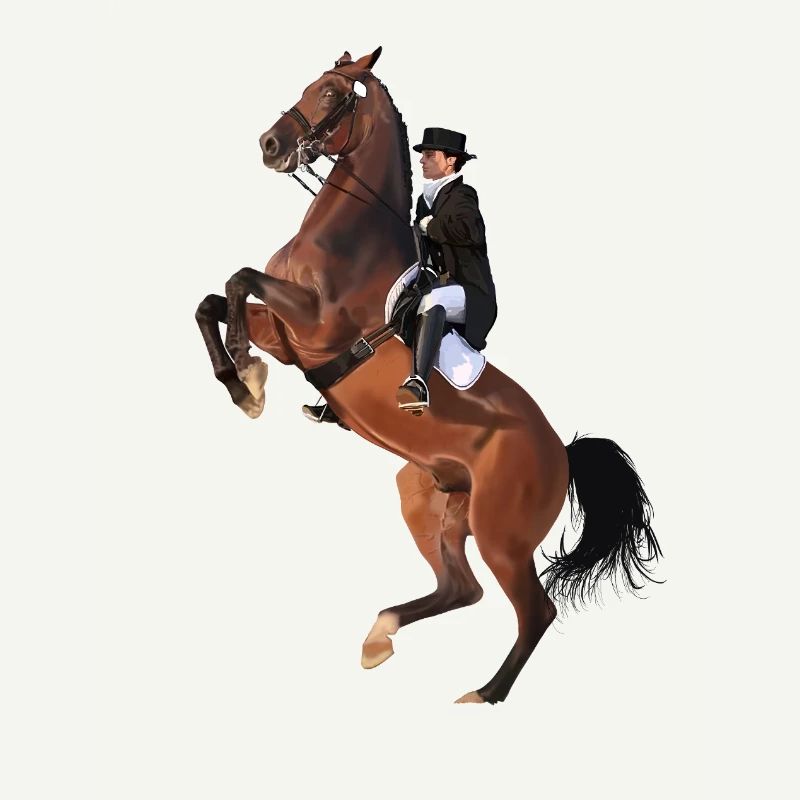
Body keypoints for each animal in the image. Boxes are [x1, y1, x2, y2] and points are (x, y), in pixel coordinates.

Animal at [195, 46, 662, 704]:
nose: (270, 144)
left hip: (500, 532)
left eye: (332, 93)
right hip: (425, 498)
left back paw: (483, 695)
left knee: (533, 609)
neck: (349, 241)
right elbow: (212, 300)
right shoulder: (288, 335)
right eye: (311, 83)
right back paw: (379, 637)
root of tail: (563, 453)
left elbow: (237, 280)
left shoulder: (314, 325)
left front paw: (245, 376)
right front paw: (243, 381)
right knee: (461, 588)